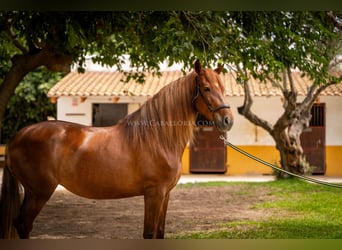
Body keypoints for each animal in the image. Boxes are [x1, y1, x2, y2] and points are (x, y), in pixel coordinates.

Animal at [0, 59, 234, 239]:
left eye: (223, 89)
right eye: (206, 88)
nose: (227, 120)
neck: (158, 138)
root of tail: (16, 137)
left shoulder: (165, 195)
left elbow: (159, 233)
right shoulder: (154, 194)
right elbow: (149, 233)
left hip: (32, 192)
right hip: (39, 192)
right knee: (24, 224)